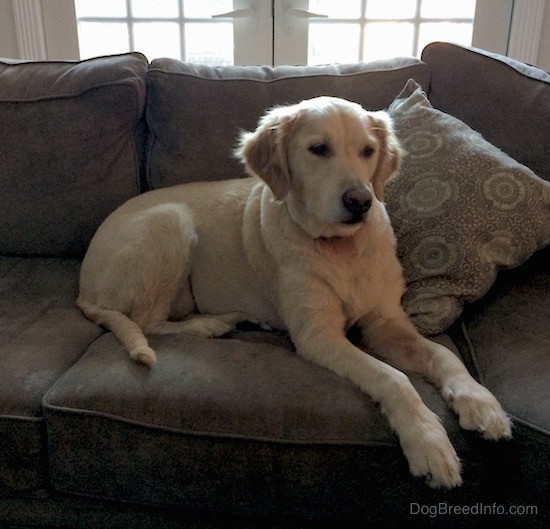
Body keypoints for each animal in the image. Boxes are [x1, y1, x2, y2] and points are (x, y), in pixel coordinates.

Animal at [77, 96, 512, 486]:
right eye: (319, 149)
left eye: (368, 151)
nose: (361, 201)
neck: (341, 248)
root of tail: (84, 287)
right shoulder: (318, 335)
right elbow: (393, 378)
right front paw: (427, 440)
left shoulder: (386, 323)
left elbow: (442, 354)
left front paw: (480, 401)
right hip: (170, 222)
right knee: (148, 322)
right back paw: (211, 325)